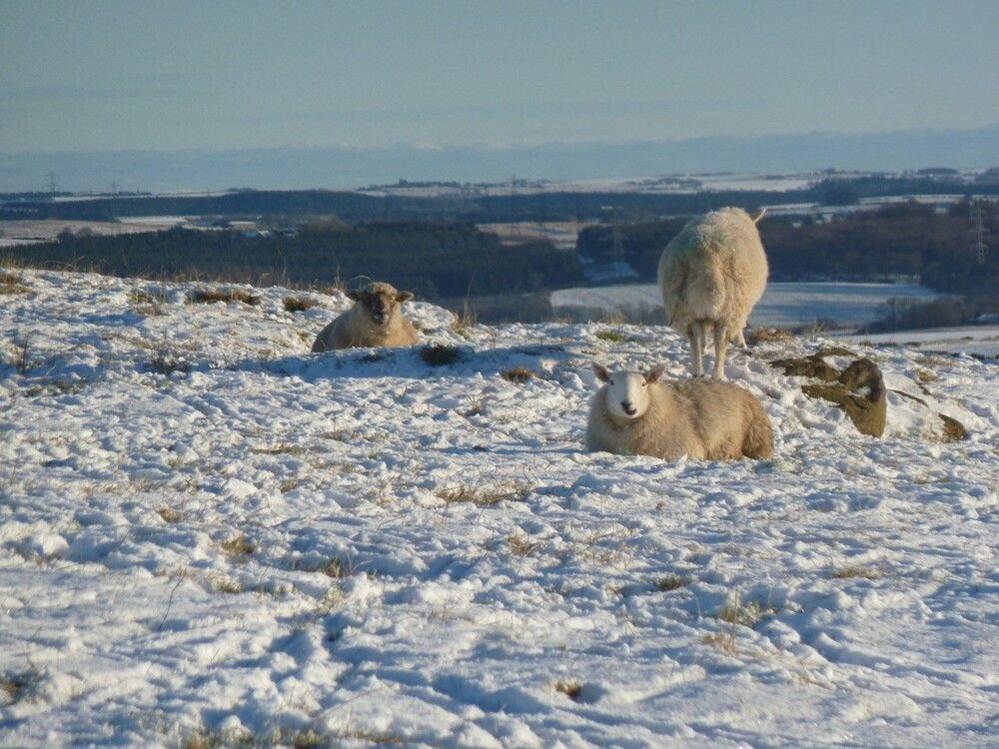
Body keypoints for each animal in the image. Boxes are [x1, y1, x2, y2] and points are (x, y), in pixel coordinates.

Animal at [660, 206, 768, 376]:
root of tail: (704, 255)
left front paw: (705, 348)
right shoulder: (740, 306)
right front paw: (741, 343)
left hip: (685, 310)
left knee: (695, 339)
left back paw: (698, 371)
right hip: (729, 308)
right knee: (720, 343)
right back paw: (718, 374)